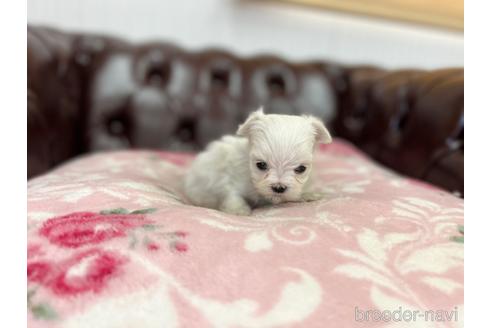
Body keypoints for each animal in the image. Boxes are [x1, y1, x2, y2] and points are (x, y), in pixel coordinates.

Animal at [184, 107, 330, 215]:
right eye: (261, 165)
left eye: (301, 169)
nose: (279, 187)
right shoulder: (228, 178)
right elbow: (232, 194)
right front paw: (238, 210)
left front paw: (308, 193)